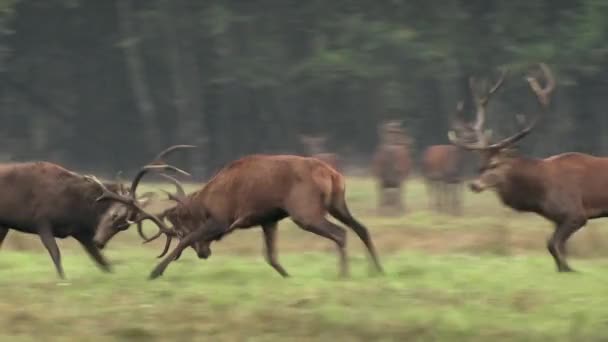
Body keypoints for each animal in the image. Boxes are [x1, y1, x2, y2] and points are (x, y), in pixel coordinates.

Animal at [446, 64, 608, 272]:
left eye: (494, 164)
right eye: (478, 166)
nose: (474, 185)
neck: (540, 193)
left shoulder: (576, 214)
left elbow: (552, 244)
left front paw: (570, 270)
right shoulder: (557, 218)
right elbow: (557, 247)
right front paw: (563, 269)